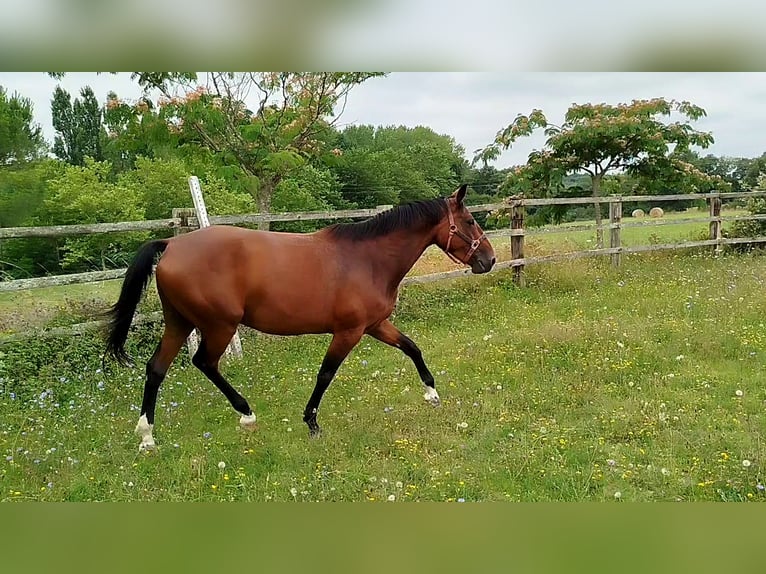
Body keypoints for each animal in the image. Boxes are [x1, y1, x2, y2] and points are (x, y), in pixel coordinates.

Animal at [103, 187, 498, 452]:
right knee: (205, 362)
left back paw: (147, 436)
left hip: (180, 323)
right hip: (218, 326)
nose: (490, 259)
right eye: (470, 221)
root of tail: (172, 244)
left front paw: (432, 393)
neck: (367, 259)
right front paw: (311, 422)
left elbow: (412, 348)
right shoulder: (349, 331)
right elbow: (325, 374)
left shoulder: (374, 326)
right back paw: (246, 414)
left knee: (156, 369)